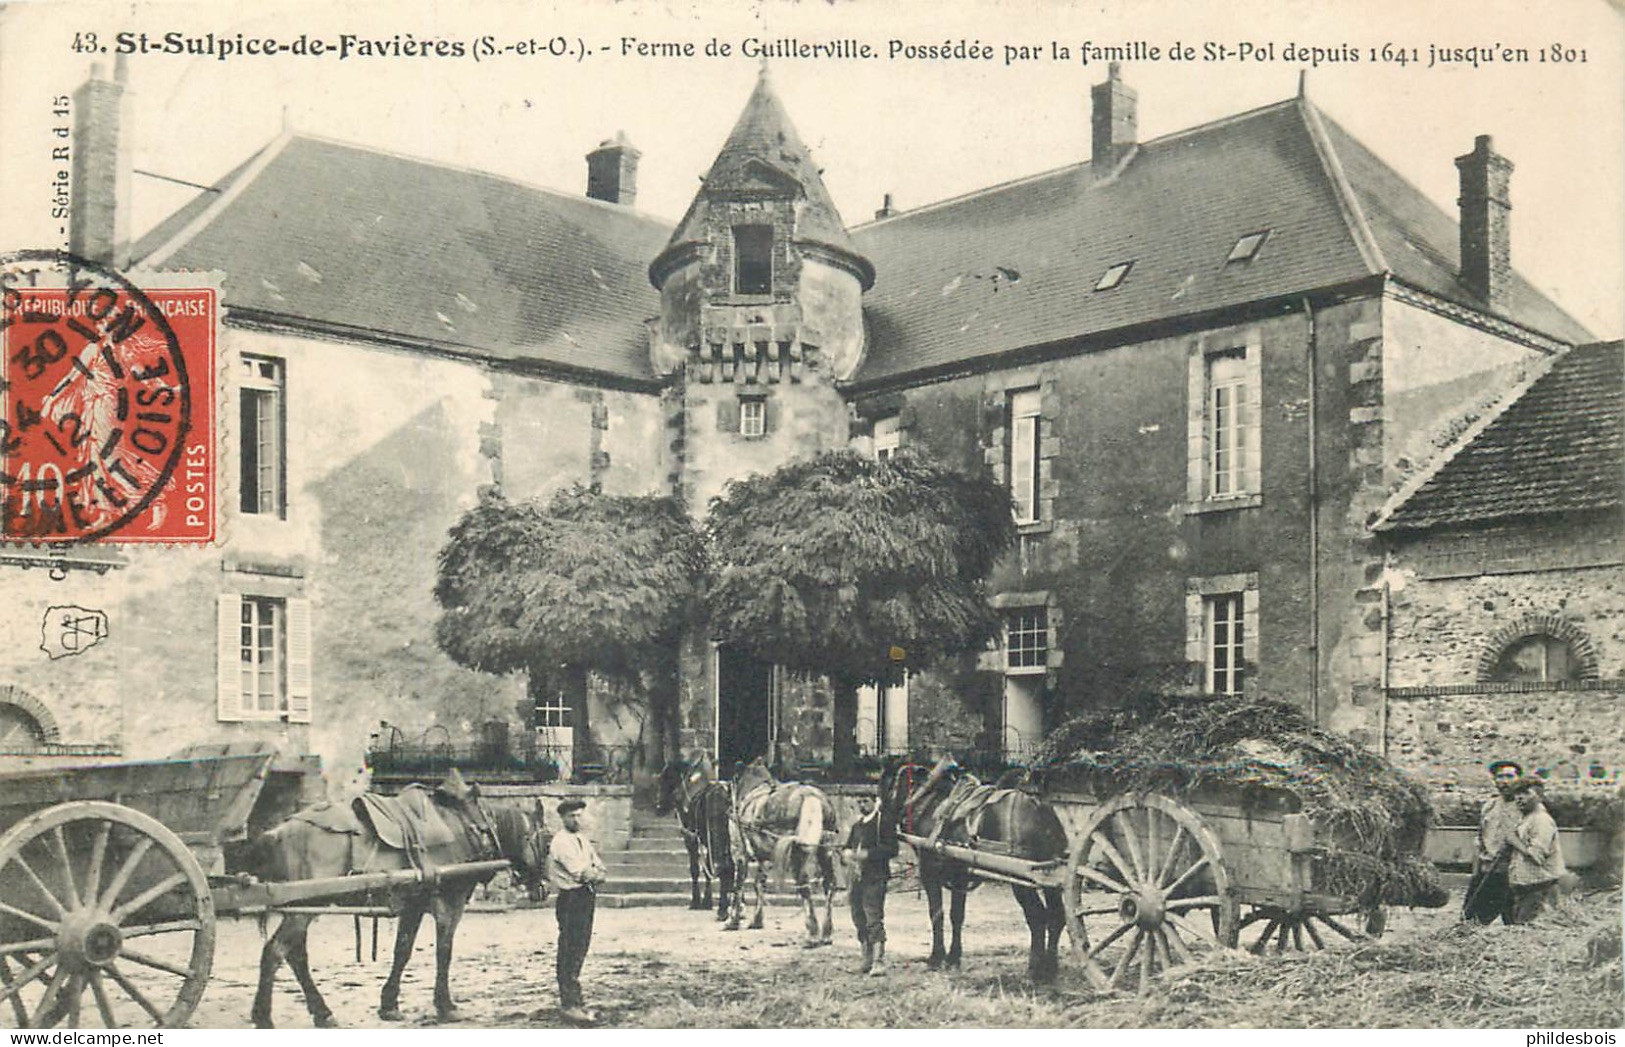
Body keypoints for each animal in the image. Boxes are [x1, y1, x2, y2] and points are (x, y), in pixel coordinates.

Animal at [238, 773, 546, 1027]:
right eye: (545, 839)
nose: (542, 890)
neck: (467, 827)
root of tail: (277, 831)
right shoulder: (451, 904)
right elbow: (444, 952)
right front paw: (445, 1005)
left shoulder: (413, 908)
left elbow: (403, 951)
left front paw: (389, 1004)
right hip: (302, 910)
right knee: (275, 951)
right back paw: (264, 1015)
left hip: (303, 906)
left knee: (295, 955)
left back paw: (321, 1012)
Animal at [656, 751, 741, 916]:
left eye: (665, 777)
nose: (658, 807)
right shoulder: (704, 840)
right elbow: (707, 868)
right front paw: (707, 901)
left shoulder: (691, 838)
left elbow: (695, 868)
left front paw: (696, 901)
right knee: (731, 865)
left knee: (725, 865)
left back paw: (723, 909)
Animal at [731, 757, 845, 942]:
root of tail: (811, 796)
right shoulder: (766, 858)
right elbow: (758, 884)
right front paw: (757, 919)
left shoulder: (740, 853)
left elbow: (738, 886)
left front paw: (732, 920)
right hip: (825, 849)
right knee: (829, 885)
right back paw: (826, 932)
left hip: (797, 853)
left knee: (804, 885)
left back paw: (812, 932)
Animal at [884, 751, 1072, 981]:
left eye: (886, 781)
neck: (930, 802)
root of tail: (1040, 807)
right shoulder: (959, 877)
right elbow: (957, 916)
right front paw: (953, 957)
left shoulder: (929, 872)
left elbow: (936, 913)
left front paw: (936, 957)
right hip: (1049, 877)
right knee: (1056, 916)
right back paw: (1050, 967)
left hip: (1023, 880)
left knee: (1038, 917)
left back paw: (1035, 969)